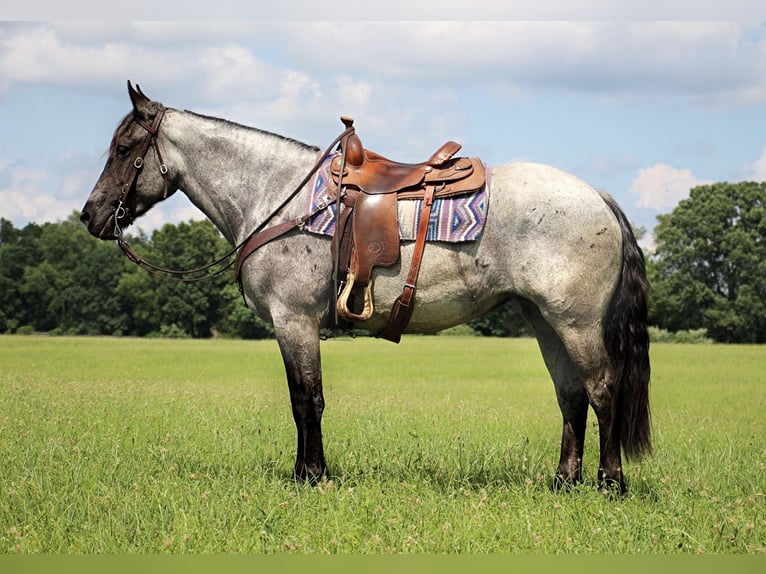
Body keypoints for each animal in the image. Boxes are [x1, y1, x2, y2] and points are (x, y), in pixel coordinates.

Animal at [81, 81, 652, 496]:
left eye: (125, 147)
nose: (90, 215)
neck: (278, 197)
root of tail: (598, 196)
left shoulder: (294, 321)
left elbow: (306, 399)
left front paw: (312, 478)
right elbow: (301, 398)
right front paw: (304, 472)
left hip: (576, 323)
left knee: (602, 389)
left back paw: (610, 484)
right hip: (545, 320)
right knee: (571, 394)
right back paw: (563, 483)